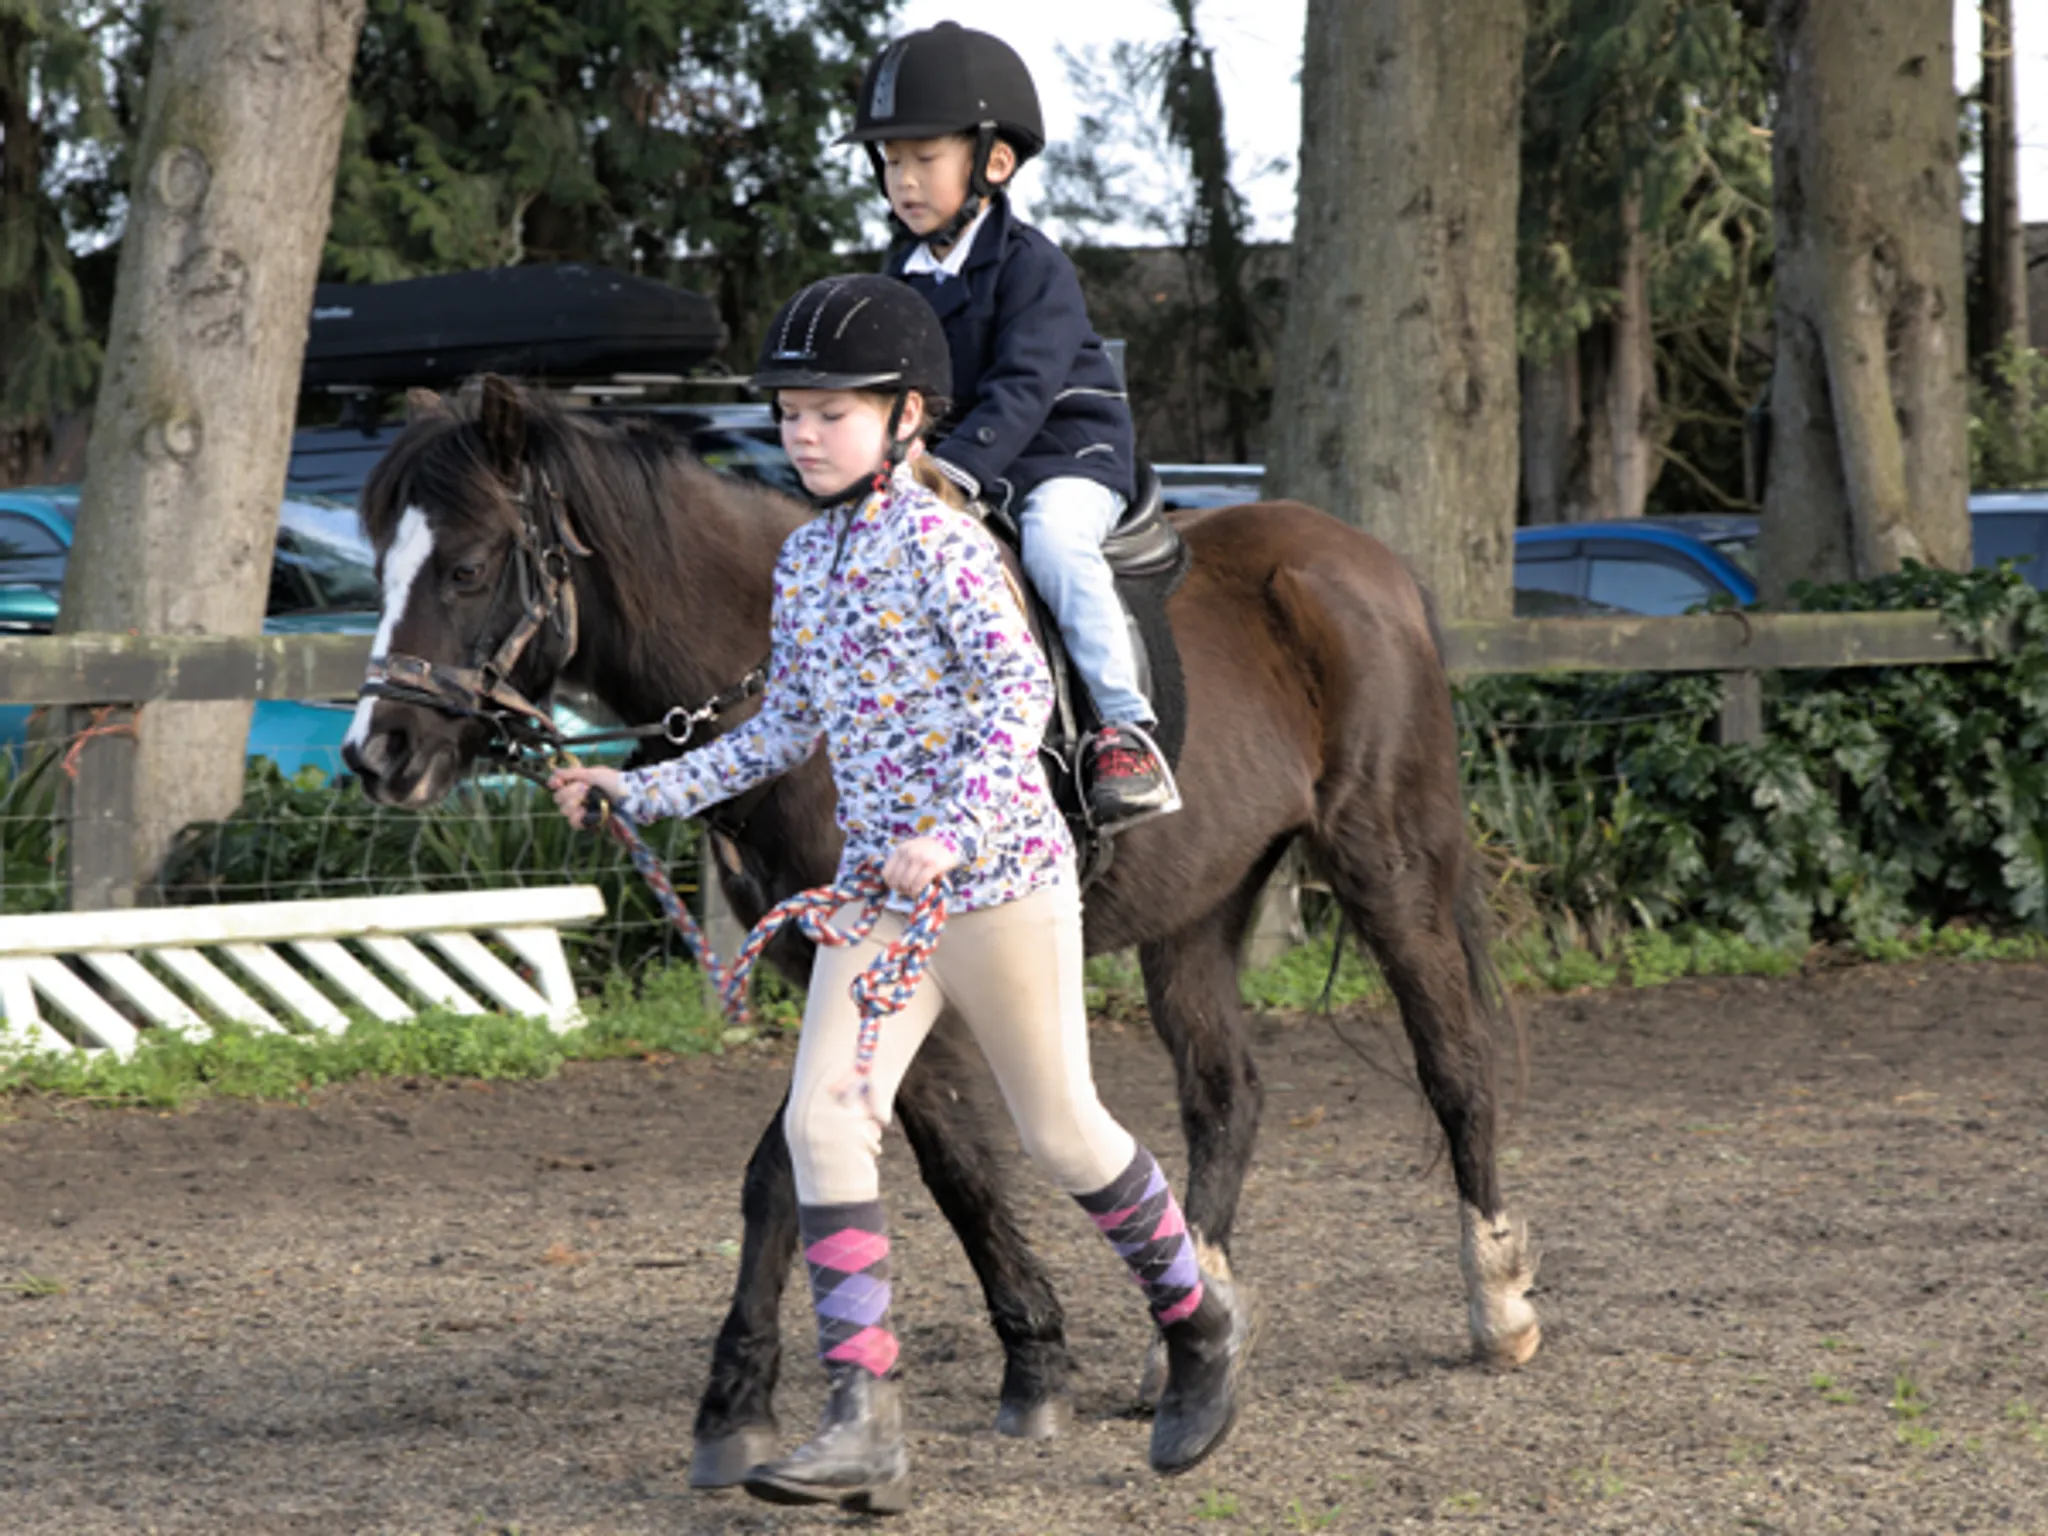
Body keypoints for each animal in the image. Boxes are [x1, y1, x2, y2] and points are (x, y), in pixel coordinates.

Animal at [340, 375, 1541, 1484]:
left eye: (468, 565)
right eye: (382, 563)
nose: (375, 752)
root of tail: (1362, 561)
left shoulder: (919, 971)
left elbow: (954, 1162)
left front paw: (1034, 1365)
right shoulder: (824, 962)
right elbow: (780, 1172)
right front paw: (735, 1402)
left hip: (1387, 863)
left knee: (1452, 1058)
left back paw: (1496, 1301)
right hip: (1197, 911)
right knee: (1225, 1095)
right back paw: (1187, 1336)